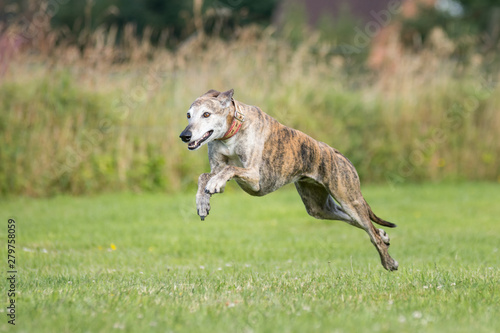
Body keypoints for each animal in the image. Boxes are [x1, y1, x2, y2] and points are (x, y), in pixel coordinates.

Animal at [180, 88, 398, 270]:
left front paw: (215, 185)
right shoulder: (217, 167)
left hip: (349, 199)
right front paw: (202, 203)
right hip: (319, 208)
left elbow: (230, 169)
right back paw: (384, 235)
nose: (185, 135)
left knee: (370, 232)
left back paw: (389, 261)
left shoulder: (254, 177)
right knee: (359, 223)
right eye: (189, 115)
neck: (233, 129)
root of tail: (336, 153)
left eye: (206, 114)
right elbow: (203, 176)